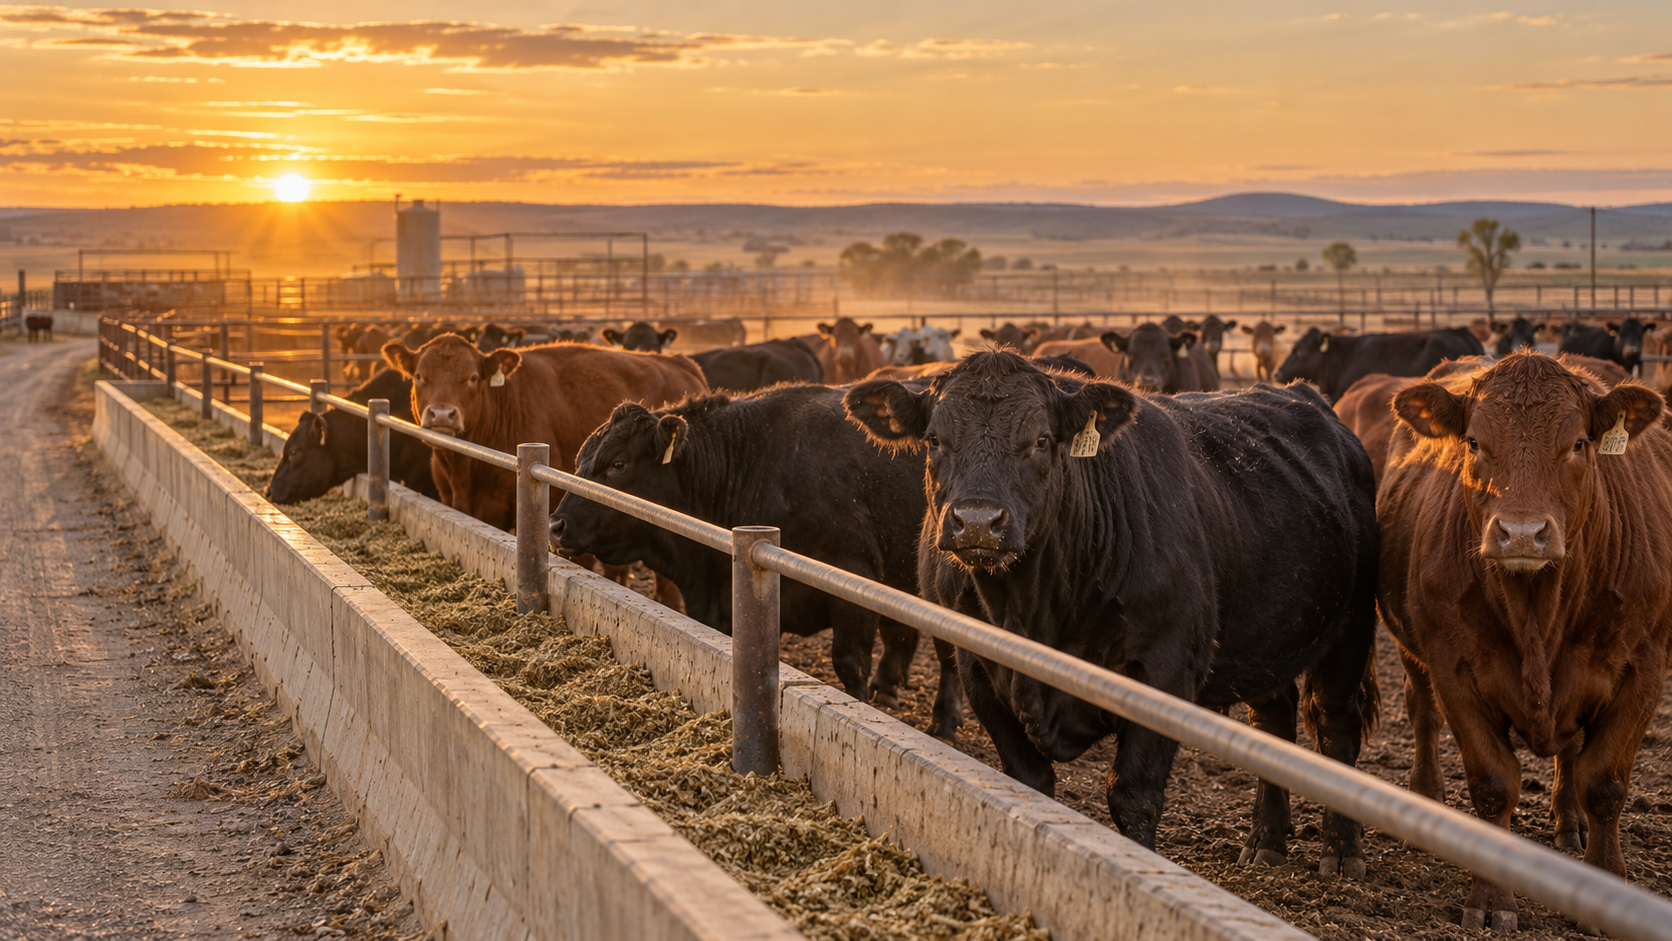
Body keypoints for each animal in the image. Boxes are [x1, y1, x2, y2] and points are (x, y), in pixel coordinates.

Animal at [548, 384, 964, 738]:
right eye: (581, 459)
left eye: (617, 464)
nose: (556, 524)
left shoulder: (854, 580)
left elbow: (850, 664)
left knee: (948, 659)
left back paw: (943, 723)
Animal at [844, 351, 1380, 871]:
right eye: (934, 439)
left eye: (1042, 440)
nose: (977, 521)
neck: (1033, 608)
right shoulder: (977, 668)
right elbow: (1029, 781)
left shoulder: (1165, 672)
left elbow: (1133, 797)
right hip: (1268, 640)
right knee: (1273, 720)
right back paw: (1267, 842)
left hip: (1351, 627)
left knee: (1335, 723)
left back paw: (1341, 851)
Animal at [1378, 352, 1672, 932]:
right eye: (1473, 442)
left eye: (1578, 442)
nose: (1520, 534)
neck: (1538, 610)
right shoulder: (1454, 667)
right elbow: (1493, 785)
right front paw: (1492, 899)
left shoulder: (1643, 669)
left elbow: (1604, 784)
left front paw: (1606, 886)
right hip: (1412, 653)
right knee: (1422, 712)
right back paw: (1426, 796)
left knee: (1573, 755)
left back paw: (1568, 823)